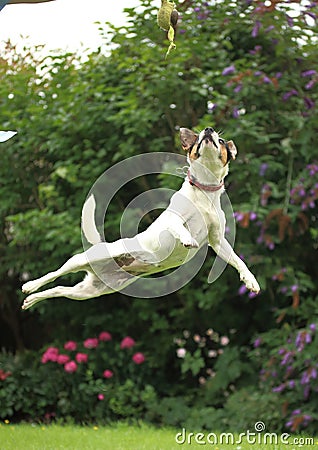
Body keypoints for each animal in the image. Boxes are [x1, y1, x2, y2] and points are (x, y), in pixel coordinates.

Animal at [22, 126, 260, 310]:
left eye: (221, 141)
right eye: (199, 137)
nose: (208, 130)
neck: (204, 191)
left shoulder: (217, 240)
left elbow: (238, 260)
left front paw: (250, 280)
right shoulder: (170, 220)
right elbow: (178, 226)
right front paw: (186, 238)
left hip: (92, 290)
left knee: (59, 289)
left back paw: (31, 300)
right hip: (80, 260)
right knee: (54, 274)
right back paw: (30, 285)